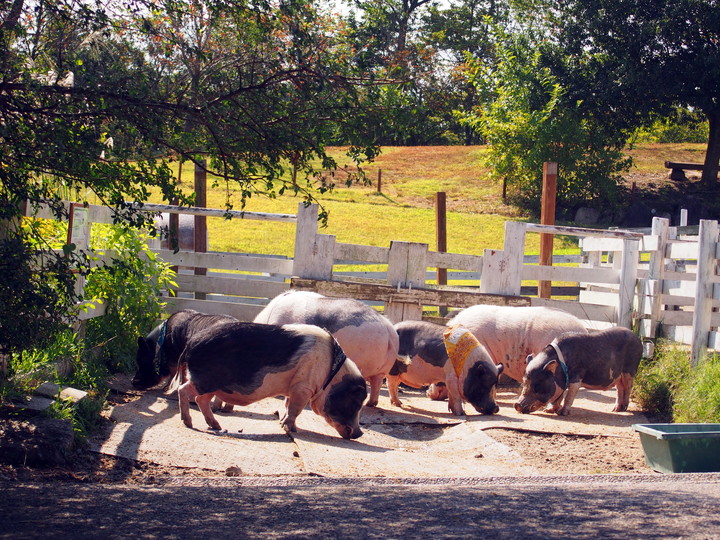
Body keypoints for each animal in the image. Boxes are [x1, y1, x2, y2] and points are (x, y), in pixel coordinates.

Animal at [172, 320, 368, 438]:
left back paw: (216, 426)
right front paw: (292, 430)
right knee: (184, 390)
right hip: (204, 380)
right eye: (356, 403)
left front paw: (282, 423)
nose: (360, 433)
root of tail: (190, 344)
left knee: (201, 400)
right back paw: (188, 423)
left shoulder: (293, 388)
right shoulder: (303, 387)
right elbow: (295, 409)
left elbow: (288, 405)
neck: (330, 374)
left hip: (212, 385)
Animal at [516, 324, 644, 418]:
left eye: (537, 386)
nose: (517, 405)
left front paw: (562, 413)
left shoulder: (576, 378)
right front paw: (548, 411)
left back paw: (623, 409)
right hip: (618, 376)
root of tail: (636, 337)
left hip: (630, 369)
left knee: (628, 387)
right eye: (524, 384)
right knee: (619, 388)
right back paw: (615, 410)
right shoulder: (562, 382)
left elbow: (568, 397)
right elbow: (559, 396)